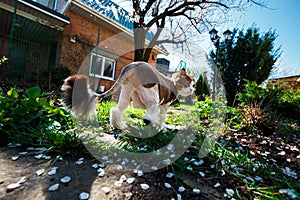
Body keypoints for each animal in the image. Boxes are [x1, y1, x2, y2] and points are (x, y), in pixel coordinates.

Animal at [61, 61, 197, 130]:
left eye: (193, 84)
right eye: (187, 83)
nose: (192, 89)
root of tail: (132, 65)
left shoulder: (161, 105)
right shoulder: (164, 105)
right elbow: (162, 117)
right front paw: (163, 126)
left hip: (127, 94)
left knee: (115, 109)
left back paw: (120, 126)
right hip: (152, 96)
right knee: (148, 116)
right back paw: (154, 124)